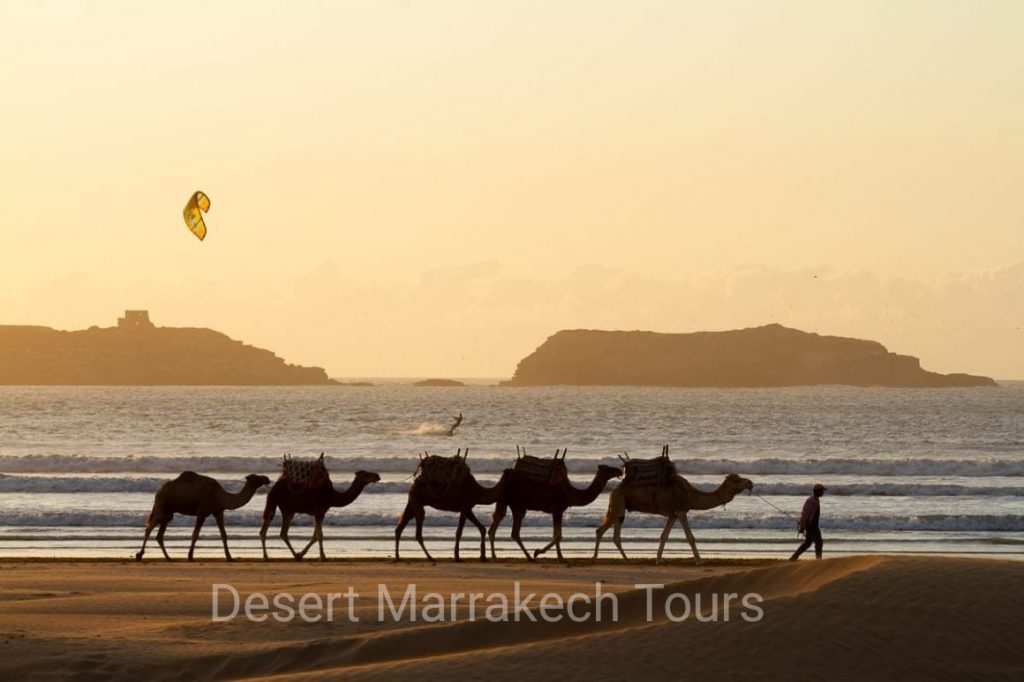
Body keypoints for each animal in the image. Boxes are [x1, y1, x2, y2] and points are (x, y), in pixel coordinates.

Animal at [134, 471, 270, 561]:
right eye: (256, 477)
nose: (267, 478)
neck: (221, 496)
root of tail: (158, 491)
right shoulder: (202, 512)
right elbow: (195, 534)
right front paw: (190, 556)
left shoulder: (218, 512)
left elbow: (224, 535)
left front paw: (229, 557)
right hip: (162, 506)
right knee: (149, 527)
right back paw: (139, 555)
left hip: (168, 513)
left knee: (159, 534)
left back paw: (169, 557)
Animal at [487, 454, 622, 561]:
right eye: (608, 469)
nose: (620, 470)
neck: (570, 493)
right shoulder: (557, 510)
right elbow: (558, 536)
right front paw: (557, 557)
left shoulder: (556, 511)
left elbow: (557, 535)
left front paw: (542, 552)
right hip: (517, 504)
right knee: (511, 530)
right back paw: (526, 557)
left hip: (506, 501)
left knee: (499, 522)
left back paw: (501, 556)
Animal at [593, 473, 753, 561]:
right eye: (737, 480)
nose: (750, 483)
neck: (690, 495)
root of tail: (614, 491)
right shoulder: (681, 511)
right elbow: (690, 537)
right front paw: (699, 561)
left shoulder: (673, 514)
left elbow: (664, 536)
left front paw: (658, 560)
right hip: (619, 505)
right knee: (605, 531)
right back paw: (601, 558)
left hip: (619, 507)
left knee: (609, 532)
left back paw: (621, 558)